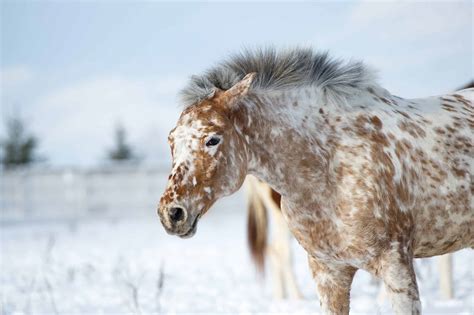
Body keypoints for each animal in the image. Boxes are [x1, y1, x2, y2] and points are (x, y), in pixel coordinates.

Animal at [157, 47, 472, 315]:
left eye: (212, 139)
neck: (329, 169)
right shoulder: (328, 271)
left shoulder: (397, 265)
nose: (171, 213)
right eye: (171, 140)